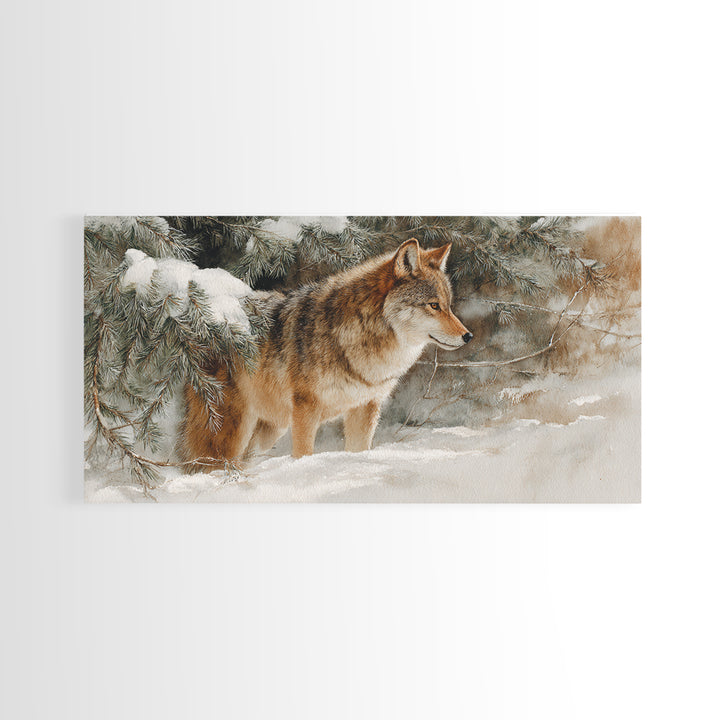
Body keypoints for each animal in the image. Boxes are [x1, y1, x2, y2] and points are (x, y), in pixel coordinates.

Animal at [180, 238, 472, 468]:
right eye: (433, 306)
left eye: (448, 305)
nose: (468, 336)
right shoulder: (307, 408)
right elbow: (303, 453)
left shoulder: (365, 407)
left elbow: (358, 450)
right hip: (230, 430)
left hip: (269, 430)